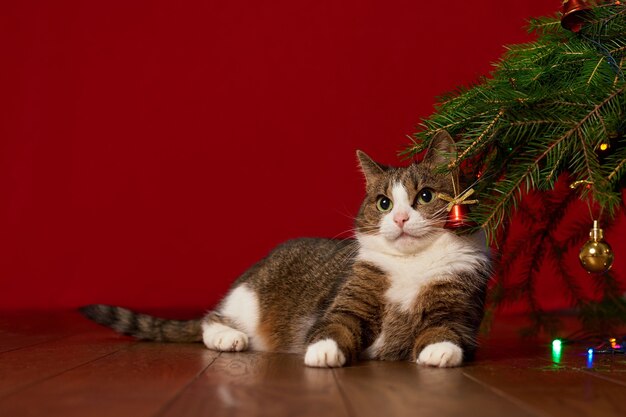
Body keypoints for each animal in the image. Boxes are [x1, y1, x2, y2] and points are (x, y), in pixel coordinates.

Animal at [79, 130, 488, 368]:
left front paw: (437, 350)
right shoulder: (349, 301)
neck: (411, 264)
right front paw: (323, 350)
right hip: (248, 300)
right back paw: (229, 337)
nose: (401, 219)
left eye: (425, 197)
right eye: (384, 203)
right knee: (211, 318)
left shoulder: (459, 304)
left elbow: (447, 328)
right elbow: (336, 323)